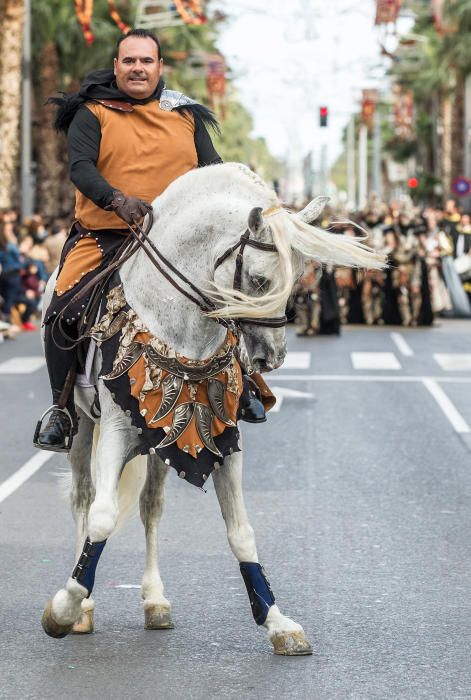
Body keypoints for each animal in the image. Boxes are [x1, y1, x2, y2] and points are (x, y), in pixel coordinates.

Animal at [38, 164, 382, 656]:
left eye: (298, 280)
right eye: (259, 281)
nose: (272, 358)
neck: (178, 330)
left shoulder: (220, 437)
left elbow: (241, 531)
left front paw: (277, 621)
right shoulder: (119, 432)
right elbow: (101, 519)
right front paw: (65, 607)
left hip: (158, 439)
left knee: (151, 506)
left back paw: (155, 599)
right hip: (85, 427)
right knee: (84, 499)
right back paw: (83, 607)